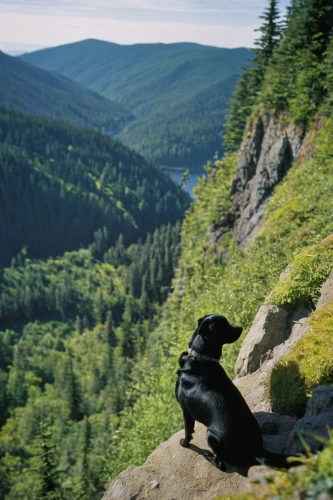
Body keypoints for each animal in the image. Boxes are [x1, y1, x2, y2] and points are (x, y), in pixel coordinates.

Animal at [175, 314, 296, 470]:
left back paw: (208, 455)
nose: (240, 328)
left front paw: (184, 443)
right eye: (225, 325)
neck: (200, 359)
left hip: (211, 435)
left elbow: (188, 431)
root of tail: (256, 449)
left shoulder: (186, 411)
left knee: (221, 464)